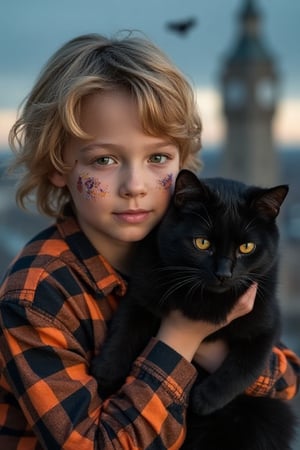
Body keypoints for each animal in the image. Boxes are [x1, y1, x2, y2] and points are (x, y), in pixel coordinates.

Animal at [91, 170, 296, 450]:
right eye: (202, 243)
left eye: (246, 247)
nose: (224, 274)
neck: (205, 300)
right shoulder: (142, 295)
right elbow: (125, 330)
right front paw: (107, 373)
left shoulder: (266, 326)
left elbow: (245, 366)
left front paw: (205, 399)